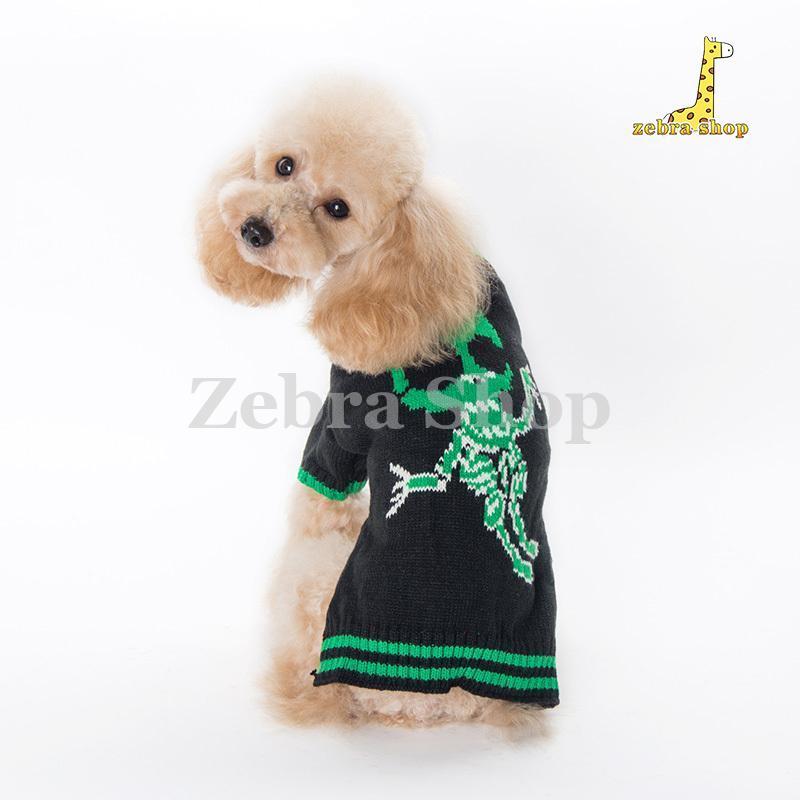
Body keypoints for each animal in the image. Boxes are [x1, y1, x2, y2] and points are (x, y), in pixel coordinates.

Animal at [196, 79, 558, 730]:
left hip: (315, 584)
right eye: (283, 165)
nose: (255, 230)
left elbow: (316, 493)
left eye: (337, 208)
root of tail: (452, 695)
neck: (396, 273)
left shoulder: (341, 421)